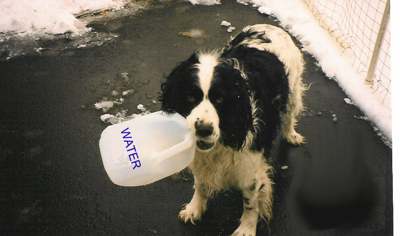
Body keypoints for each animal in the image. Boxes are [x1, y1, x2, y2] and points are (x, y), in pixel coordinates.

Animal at [159, 24, 306, 235]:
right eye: (190, 97)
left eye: (220, 99)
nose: (203, 129)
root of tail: (270, 26)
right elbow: (200, 183)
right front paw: (194, 208)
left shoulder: (251, 168)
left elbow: (251, 203)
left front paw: (246, 229)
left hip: (292, 93)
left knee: (289, 116)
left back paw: (291, 135)